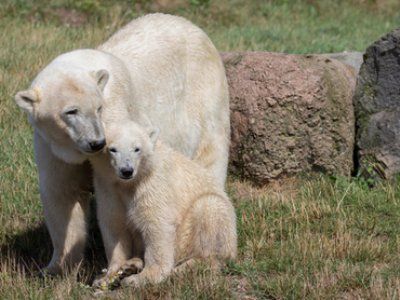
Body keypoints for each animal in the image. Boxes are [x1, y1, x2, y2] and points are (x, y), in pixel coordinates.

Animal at [14, 14, 230, 276]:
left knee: (209, 154)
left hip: (204, 94)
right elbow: (62, 193)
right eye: (71, 111)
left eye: (98, 107)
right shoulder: (51, 144)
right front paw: (55, 267)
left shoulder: (117, 114)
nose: (97, 142)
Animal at [90, 120, 238, 288]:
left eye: (137, 148)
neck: (129, 184)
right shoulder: (107, 188)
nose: (126, 170)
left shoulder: (153, 184)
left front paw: (141, 278)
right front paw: (108, 276)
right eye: (112, 149)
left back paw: (184, 268)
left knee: (209, 211)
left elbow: (156, 224)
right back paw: (132, 264)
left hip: (204, 230)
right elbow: (114, 226)